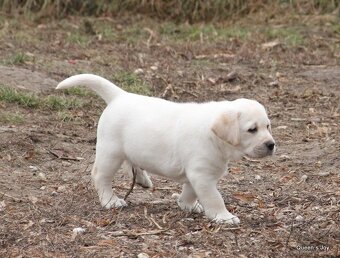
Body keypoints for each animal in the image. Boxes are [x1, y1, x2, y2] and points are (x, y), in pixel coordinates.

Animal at [57, 73, 274, 224]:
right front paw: (224, 216)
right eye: (252, 130)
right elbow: (214, 198)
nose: (271, 145)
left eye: (268, 126)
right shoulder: (202, 175)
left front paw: (186, 204)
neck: (213, 136)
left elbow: (190, 191)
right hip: (111, 153)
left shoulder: (196, 175)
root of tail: (119, 96)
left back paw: (142, 179)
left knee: (130, 162)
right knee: (101, 176)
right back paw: (110, 201)